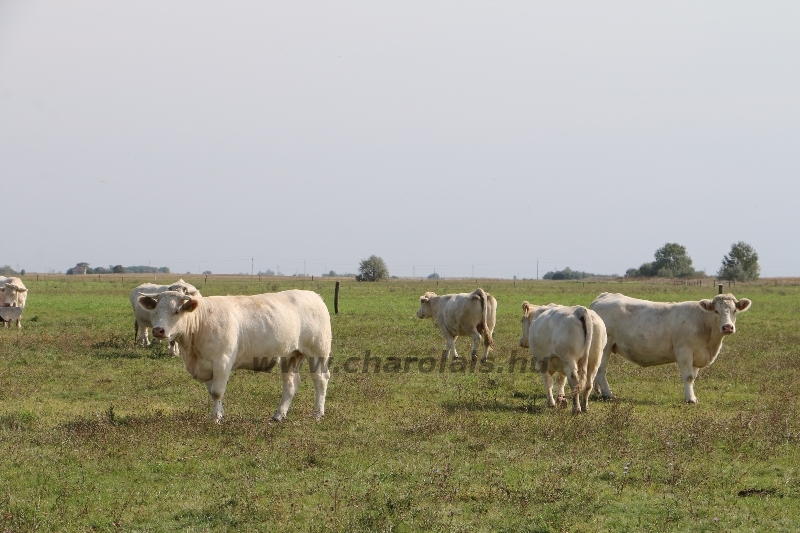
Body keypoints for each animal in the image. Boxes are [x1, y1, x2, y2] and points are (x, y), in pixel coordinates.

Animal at [139, 288, 332, 422]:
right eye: (155, 311)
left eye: (176, 311)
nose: (158, 330)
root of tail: (313, 295)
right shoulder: (207, 365)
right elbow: (211, 391)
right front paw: (220, 413)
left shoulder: (222, 361)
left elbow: (217, 392)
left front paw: (215, 418)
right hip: (291, 355)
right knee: (290, 384)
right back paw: (279, 415)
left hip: (318, 352)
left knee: (320, 380)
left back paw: (317, 414)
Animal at [588, 290, 752, 404]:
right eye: (716, 311)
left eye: (735, 311)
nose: (727, 327)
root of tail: (604, 296)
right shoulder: (684, 351)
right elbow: (688, 377)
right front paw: (690, 399)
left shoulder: (697, 355)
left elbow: (694, 377)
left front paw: (691, 396)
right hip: (606, 345)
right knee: (601, 370)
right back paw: (608, 394)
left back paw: (597, 392)